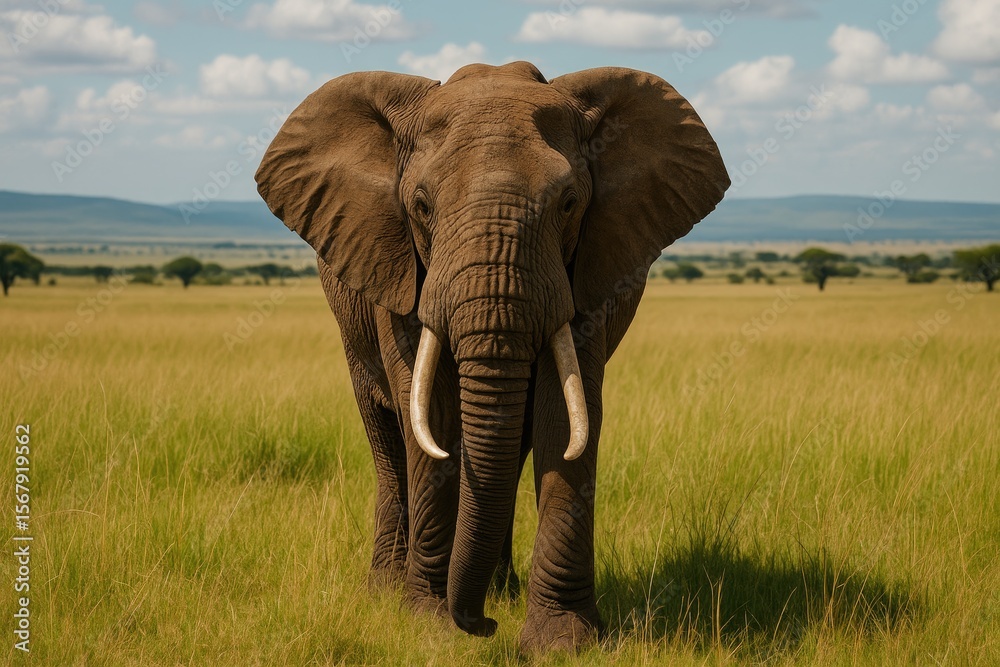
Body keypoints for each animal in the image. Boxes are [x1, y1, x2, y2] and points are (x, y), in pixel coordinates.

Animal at [255, 61, 729, 654]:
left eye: (569, 204)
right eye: (421, 206)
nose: (482, 627)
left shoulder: (585, 271)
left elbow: (564, 417)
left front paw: (560, 643)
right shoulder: (400, 268)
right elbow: (431, 415)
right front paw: (428, 624)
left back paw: (497, 589)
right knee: (388, 439)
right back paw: (390, 590)